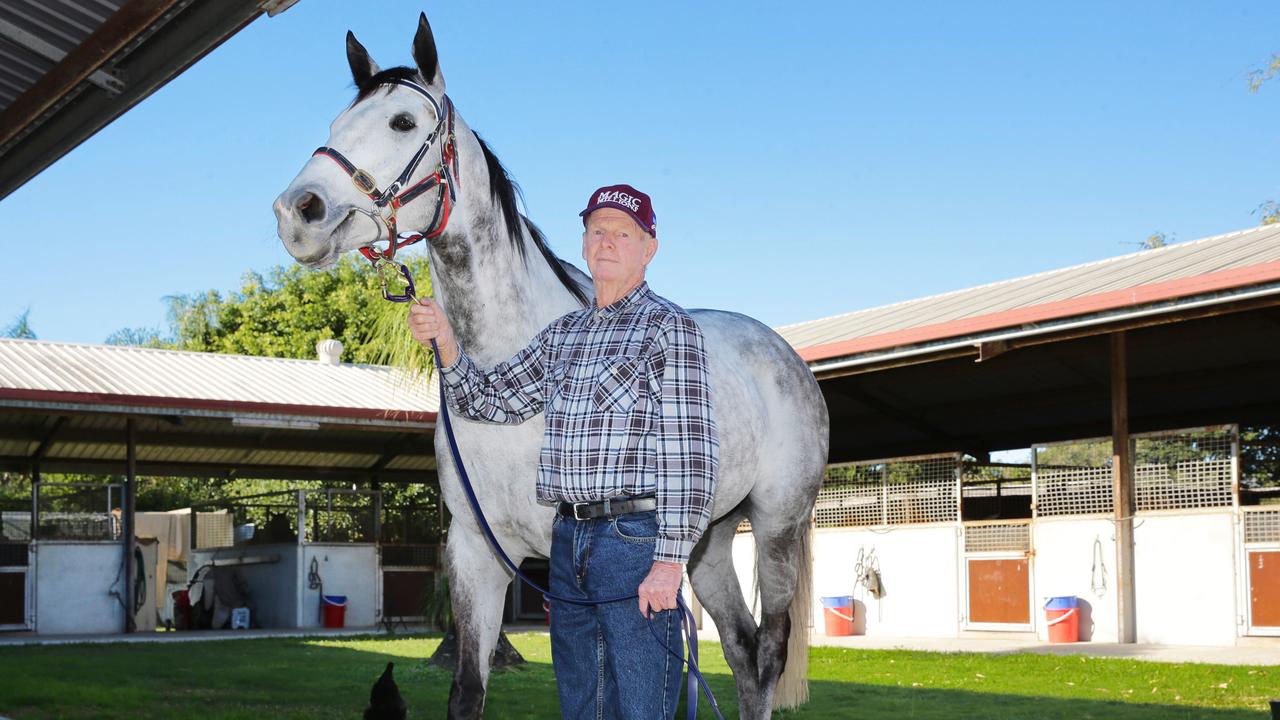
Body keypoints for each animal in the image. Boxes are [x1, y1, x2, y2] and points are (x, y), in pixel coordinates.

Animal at [272, 12, 829, 717]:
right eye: (336, 124)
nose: (298, 212)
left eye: (401, 121)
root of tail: (782, 353)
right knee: (742, 652)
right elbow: (468, 691)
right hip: (709, 542)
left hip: (777, 529)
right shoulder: (477, 557)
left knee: (768, 653)